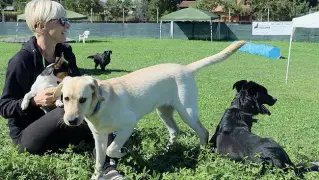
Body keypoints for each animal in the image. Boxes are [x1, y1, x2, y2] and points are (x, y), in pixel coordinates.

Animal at [53, 40, 246, 179]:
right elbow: (100, 160)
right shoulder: (99, 136)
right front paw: (96, 176)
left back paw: (201, 152)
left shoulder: (128, 125)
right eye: (66, 98)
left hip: (187, 111)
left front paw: (124, 151)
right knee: (175, 130)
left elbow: (111, 150)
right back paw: (168, 150)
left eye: (83, 99)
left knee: (203, 131)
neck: (100, 106)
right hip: (164, 111)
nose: (71, 121)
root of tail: (186, 68)